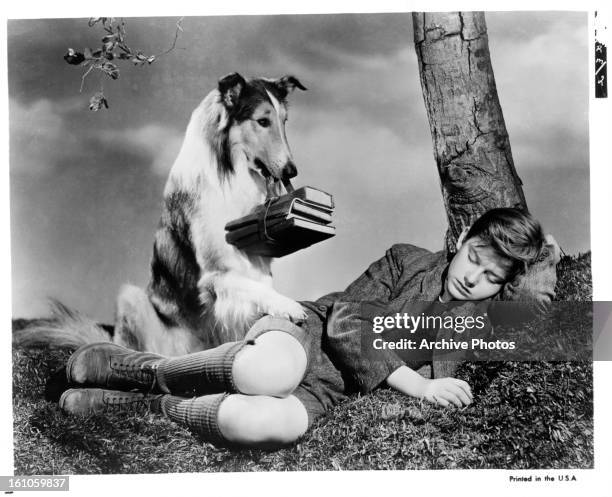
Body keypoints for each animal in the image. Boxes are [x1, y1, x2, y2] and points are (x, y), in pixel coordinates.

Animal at [15, 71, 306, 354]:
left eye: (284, 121)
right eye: (262, 121)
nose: (292, 171)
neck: (232, 175)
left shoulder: (256, 268)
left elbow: (259, 290)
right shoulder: (215, 275)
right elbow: (253, 289)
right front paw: (291, 306)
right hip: (132, 300)